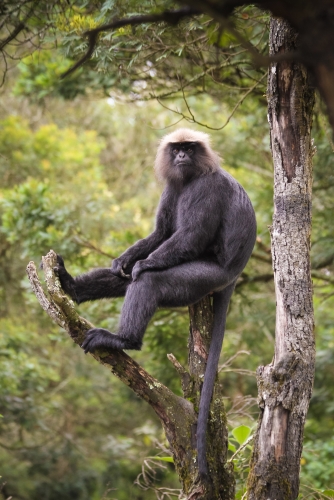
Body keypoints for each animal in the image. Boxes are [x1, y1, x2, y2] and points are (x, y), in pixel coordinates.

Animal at [56, 128, 258, 476]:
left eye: (189, 148)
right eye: (177, 149)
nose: (182, 156)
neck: (190, 177)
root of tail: (232, 275)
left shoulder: (206, 188)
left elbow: (190, 236)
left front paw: (140, 266)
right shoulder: (172, 187)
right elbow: (160, 233)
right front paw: (122, 260)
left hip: (205, 277)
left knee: (149, 279)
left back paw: (124, 338)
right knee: (127, 276)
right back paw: (72, 287)